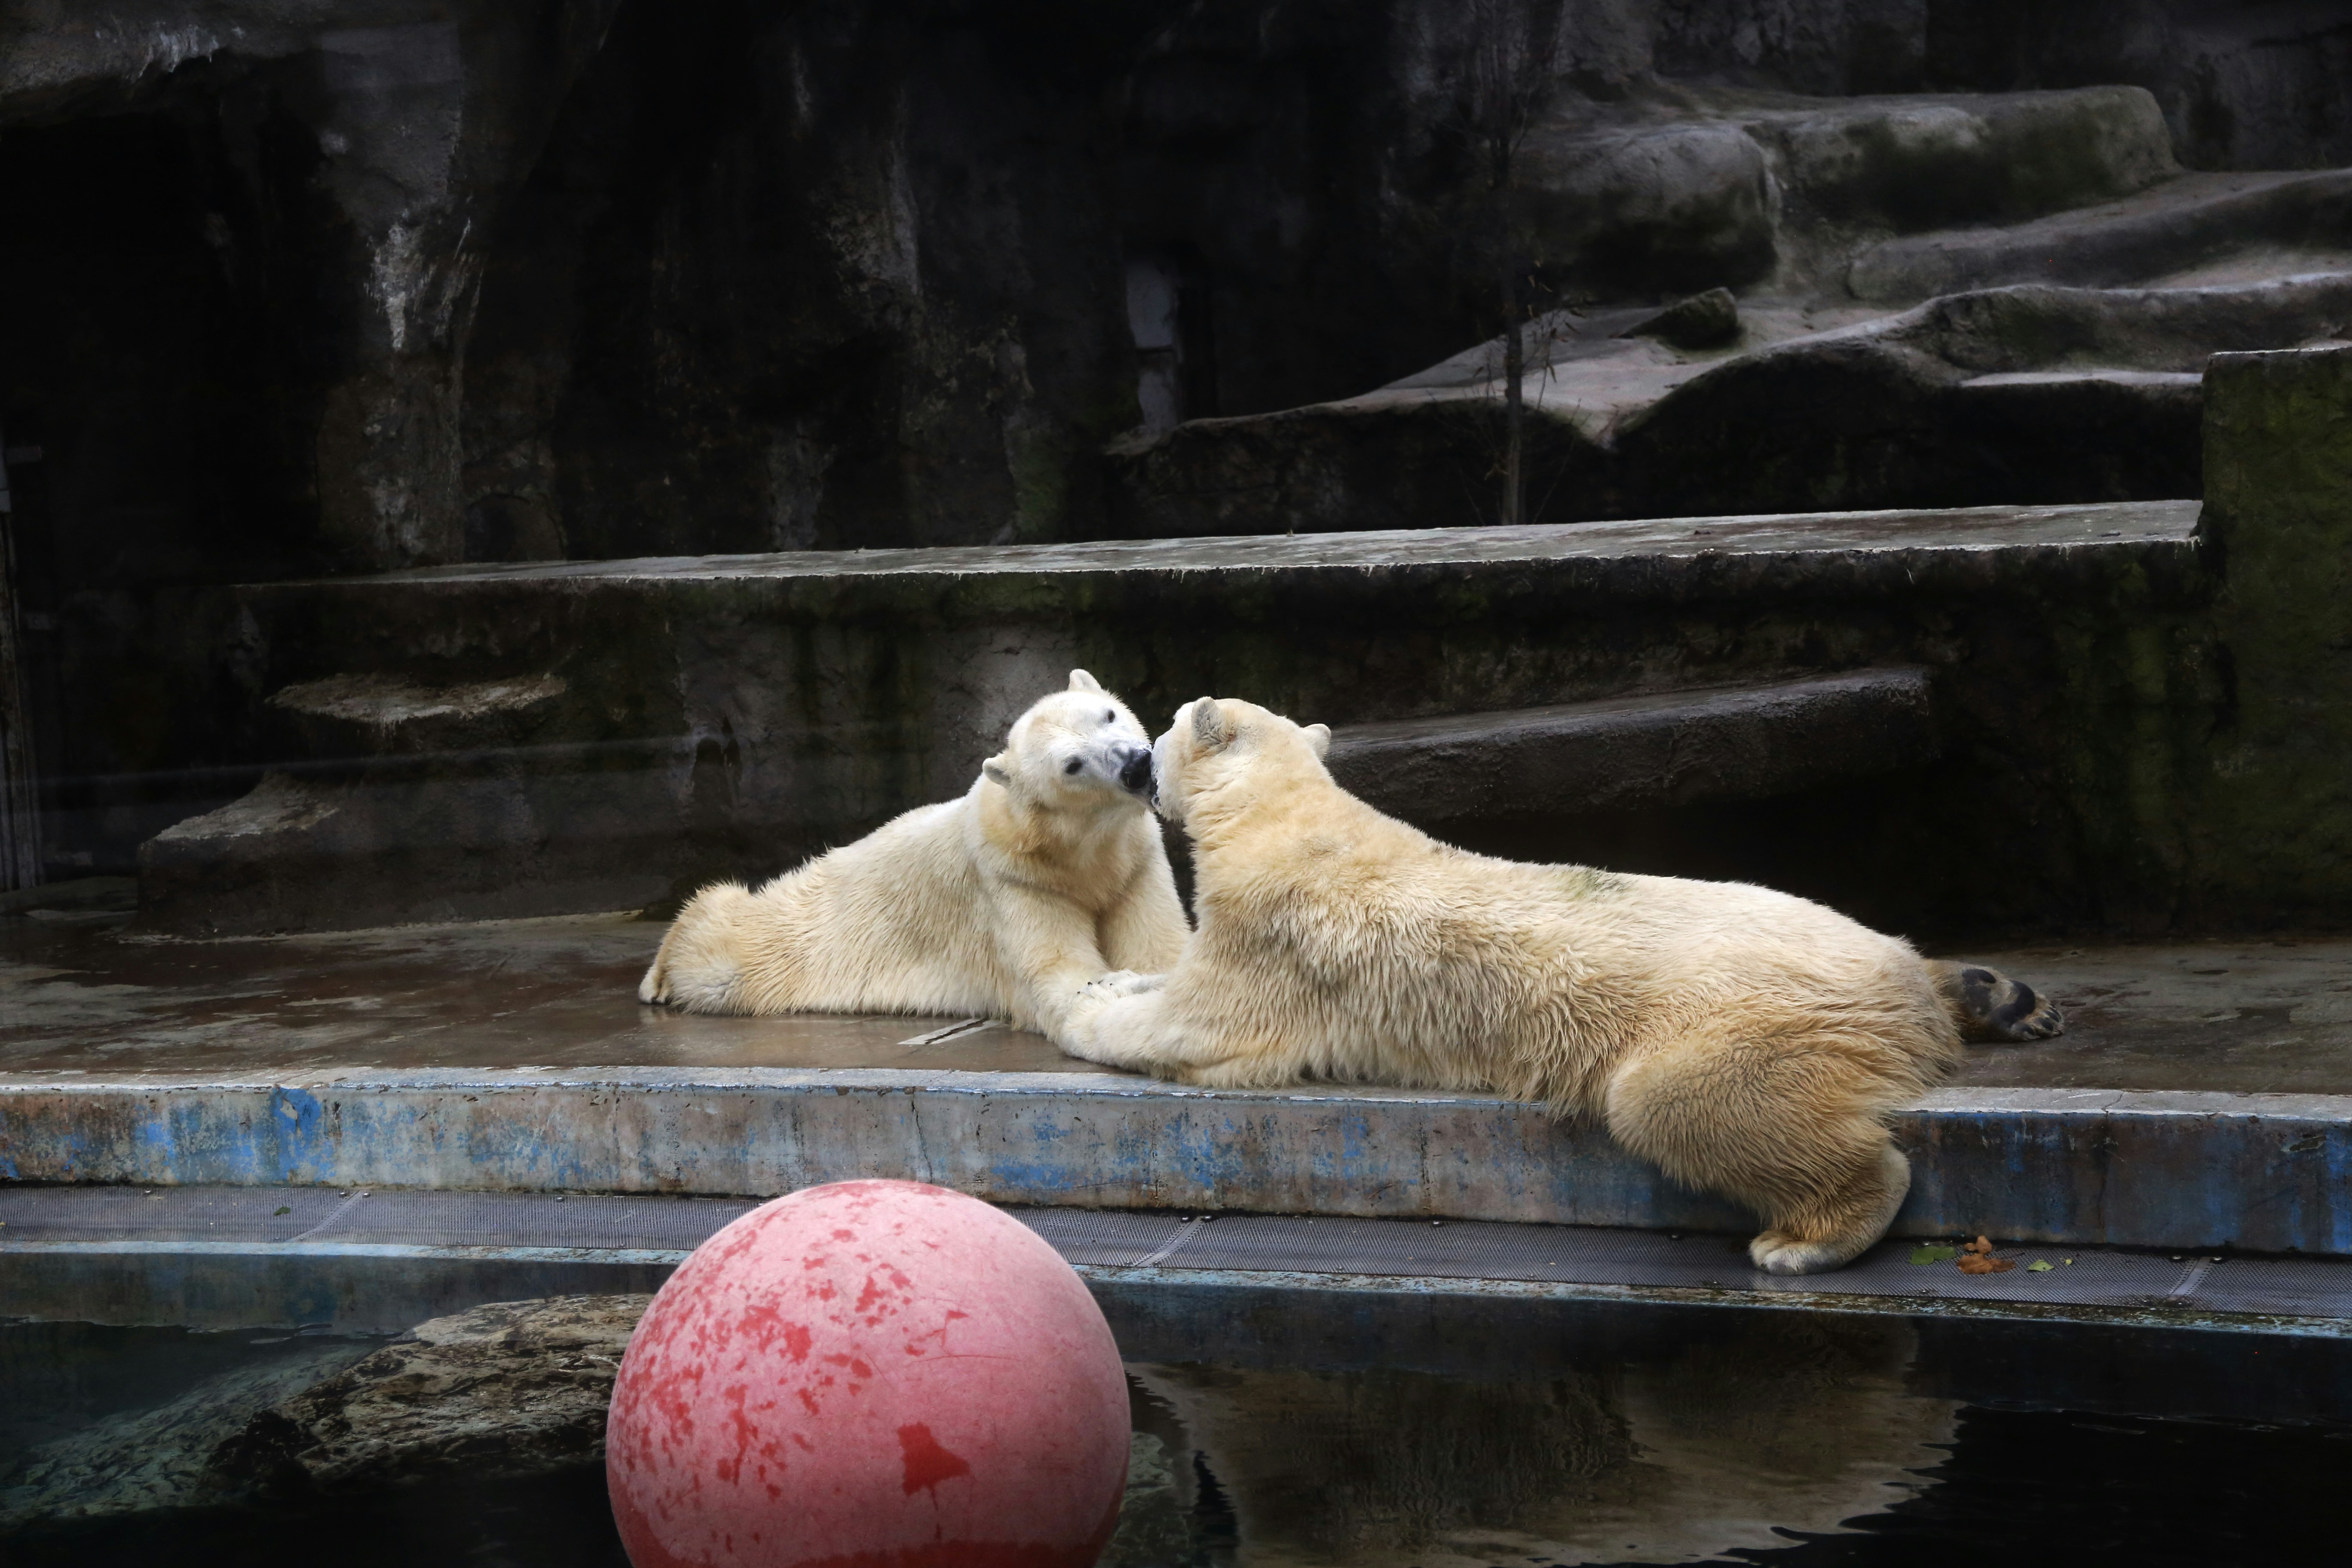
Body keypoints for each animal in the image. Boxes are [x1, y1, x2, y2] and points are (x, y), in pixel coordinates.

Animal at [638, 670, 1189, 1033]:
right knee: (724, 947)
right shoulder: (1013, 879)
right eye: (1072, 765)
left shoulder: (1136, 863)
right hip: (791, 936)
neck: (1079, 851)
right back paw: (657, 979)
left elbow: (1160, 945)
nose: (1136, 766)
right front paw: (1110, 985)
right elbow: (1058, 972)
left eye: (1109, 714)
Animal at [1059, 694, 2064, 1276]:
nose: (1140, 768)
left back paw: (1806, 1237)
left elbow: (1198, 1027)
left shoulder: (1270, 939)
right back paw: (1993, 996)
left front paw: (1092, 1004)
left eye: (1157, 730)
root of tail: (1897, 990)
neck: (1289, 820)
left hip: (1754, 1015)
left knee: (1678, 1097)